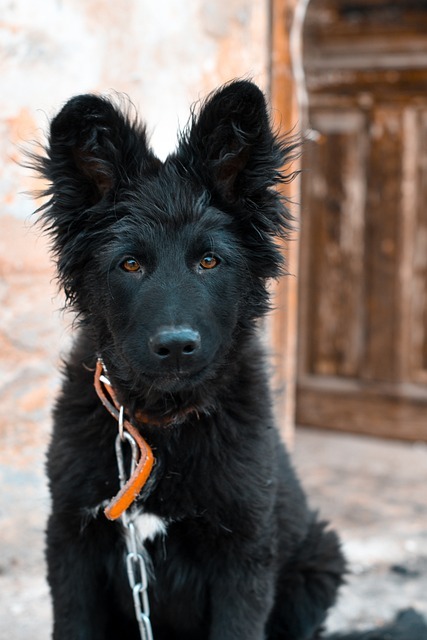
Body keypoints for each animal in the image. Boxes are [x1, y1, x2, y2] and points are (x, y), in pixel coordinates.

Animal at [33, 81, 424, 640]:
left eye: (209, 260)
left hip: (318, 563)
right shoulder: (71, 539)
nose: (176, 346)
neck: (165, 426)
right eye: (129, 264)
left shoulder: (245, 553)